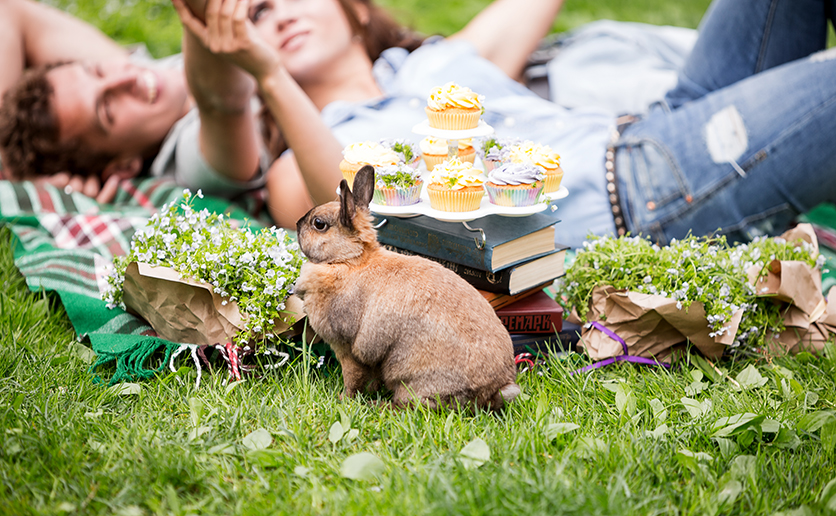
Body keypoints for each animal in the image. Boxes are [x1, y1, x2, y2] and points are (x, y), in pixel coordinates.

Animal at [292, 165, 516, 412]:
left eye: (318, 224)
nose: (297, 224)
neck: (349, 261)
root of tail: (493, 389)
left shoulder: (348, 349)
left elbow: (353, 378)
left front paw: (344, 399)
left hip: (412, 380)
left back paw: (378, 405)